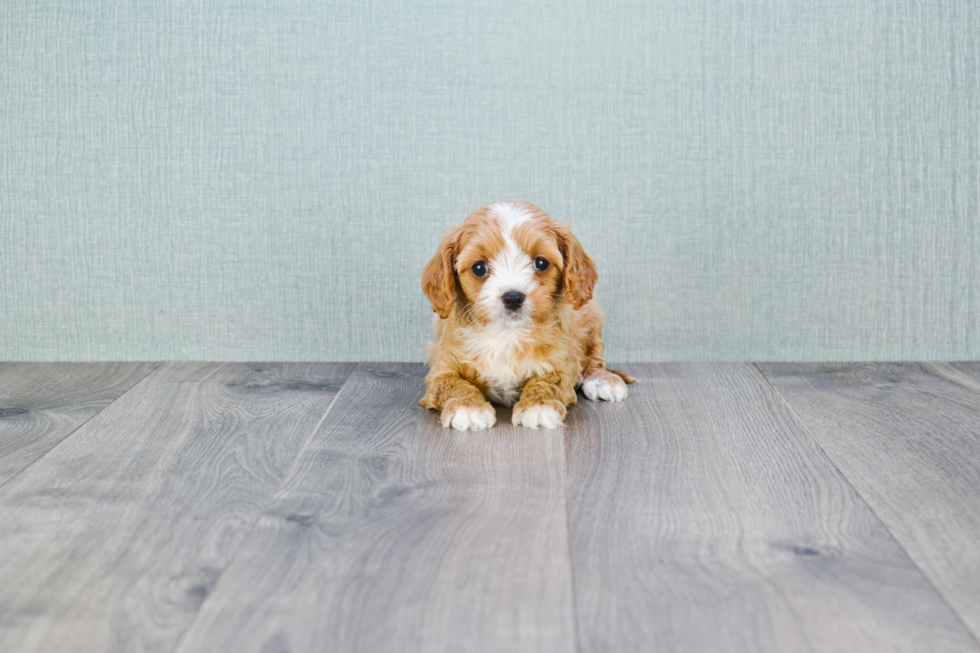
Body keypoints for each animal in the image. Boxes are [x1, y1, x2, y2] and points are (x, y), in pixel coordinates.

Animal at [420, 201, 636, 430]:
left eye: (541, 263)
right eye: (479, 268)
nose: (513, 297)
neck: (506, 333)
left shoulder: (561, 361)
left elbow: (549, 381)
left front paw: (539, 406)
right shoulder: (442, 366)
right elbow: (451, 383)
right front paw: (468, 407)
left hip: (590, 318)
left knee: (594, 357)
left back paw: (603, 380)